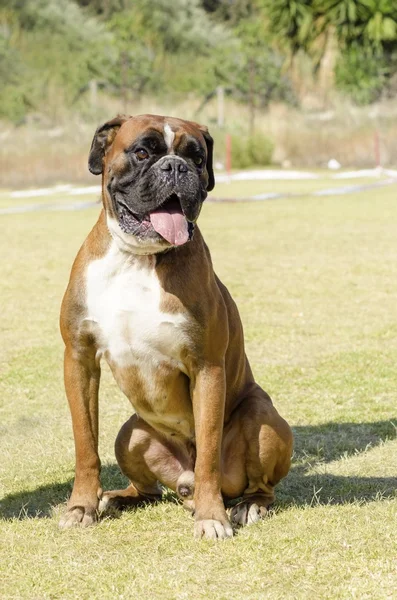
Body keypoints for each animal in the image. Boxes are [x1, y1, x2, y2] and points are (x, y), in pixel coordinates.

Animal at [60, 113, 292, 540]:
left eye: (197, 158)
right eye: (142, 152)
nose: (175, 167)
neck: (138, 259)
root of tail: (181, 483)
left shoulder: (207, 367)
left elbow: (209, 456)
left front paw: (212, 518)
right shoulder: (79, 359)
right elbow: (85, 443)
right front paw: (81, 506)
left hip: (262, 418)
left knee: (255, 483)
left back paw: (246, 505)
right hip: (130, 435)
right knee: (147, 489)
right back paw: (118, 498)